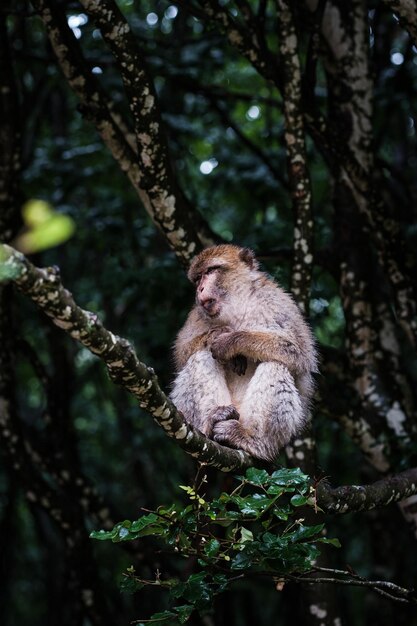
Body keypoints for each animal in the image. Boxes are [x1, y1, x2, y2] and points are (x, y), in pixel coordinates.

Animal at [169, 243, 316, 458]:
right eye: (198, 278)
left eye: (211, 271)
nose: (200, 289)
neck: (236, 306)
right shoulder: (197, 314)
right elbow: (182, 352)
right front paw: (218, 334)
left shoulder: (277, 301)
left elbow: (300, 353)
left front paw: (230, 342)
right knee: (201, 356)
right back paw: (210, 423)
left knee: (275, 364)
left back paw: (253, 439)